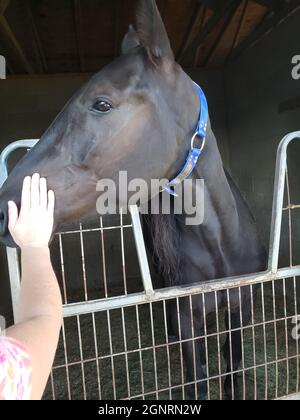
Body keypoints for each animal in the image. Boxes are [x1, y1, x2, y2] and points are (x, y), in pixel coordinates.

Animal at [0, 0, 266, 400]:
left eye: (102, 103)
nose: (4, 207)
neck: (220, 245)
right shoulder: (187, 317)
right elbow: (198, 378)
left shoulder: (240, 308)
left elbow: (232, 370)